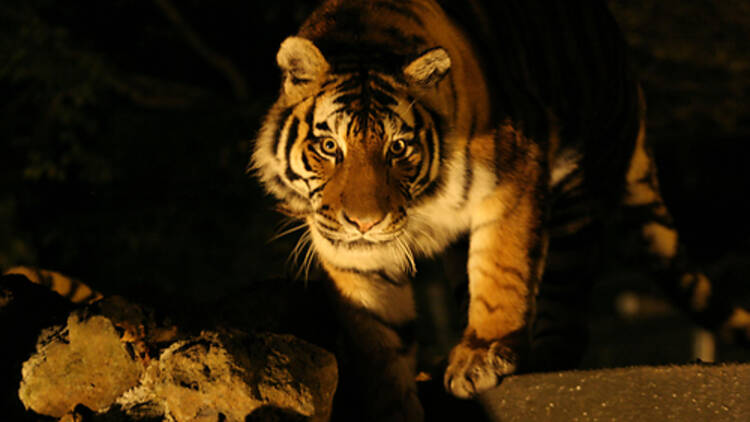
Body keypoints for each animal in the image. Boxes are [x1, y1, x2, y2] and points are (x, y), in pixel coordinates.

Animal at [253, 0, 750, 418]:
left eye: (398, 148)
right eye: (329, 146)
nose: (365, 222)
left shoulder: (515, 175)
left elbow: (500, 272)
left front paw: (484, 356)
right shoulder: (350, 249)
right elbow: (376, 335)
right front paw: (392, 404)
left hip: (576, 201)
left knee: (565, 311)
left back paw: (535, 359)